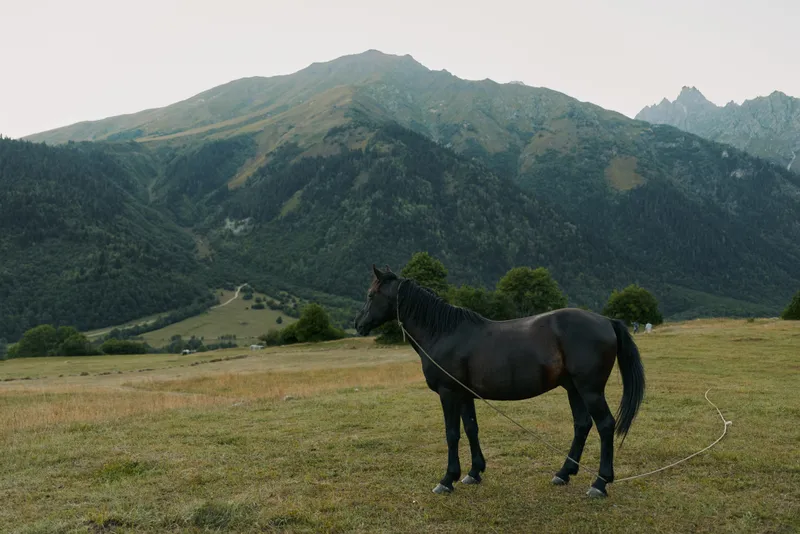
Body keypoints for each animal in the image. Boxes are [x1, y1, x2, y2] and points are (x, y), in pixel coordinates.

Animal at [353, 265, 645, 498]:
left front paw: (447, 479)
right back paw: (563, 473)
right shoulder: (464, 395)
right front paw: (474, 472)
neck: (444, 333)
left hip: (590, 390)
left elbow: (452, 434)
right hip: (573, 388)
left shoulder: (449, 394)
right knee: (582, 425)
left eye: (370, 295)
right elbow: (471, 428)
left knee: (605, 425)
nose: (358, 324)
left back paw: (600, 483)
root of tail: (606, 321)